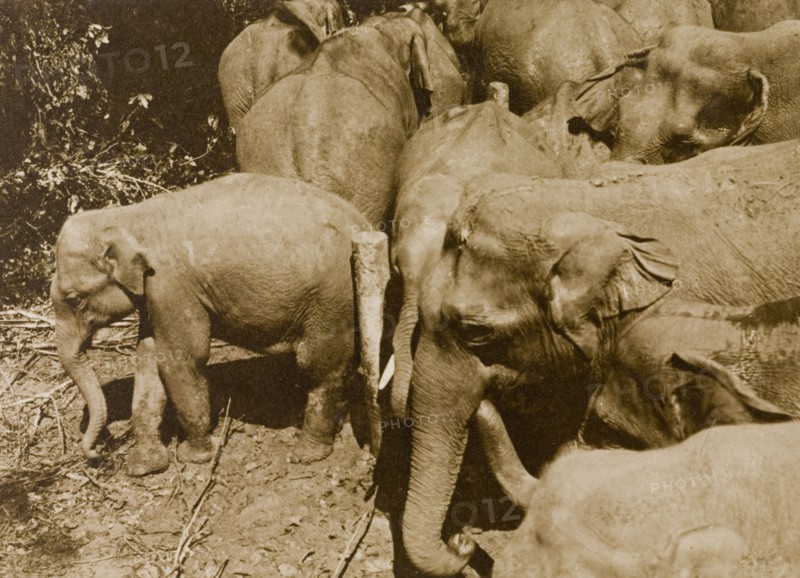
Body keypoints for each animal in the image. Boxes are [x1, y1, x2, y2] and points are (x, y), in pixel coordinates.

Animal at [51, 173, 370, 476]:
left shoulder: (170, 286)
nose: (98, 453)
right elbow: (148, 360)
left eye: (74, 299)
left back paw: (307, 452)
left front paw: (194, 456)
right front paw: (144, 466)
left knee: (320, 367)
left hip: (334, 300)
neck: (129, 217)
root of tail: (365, 225)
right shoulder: (154, 297)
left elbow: (181, 360)